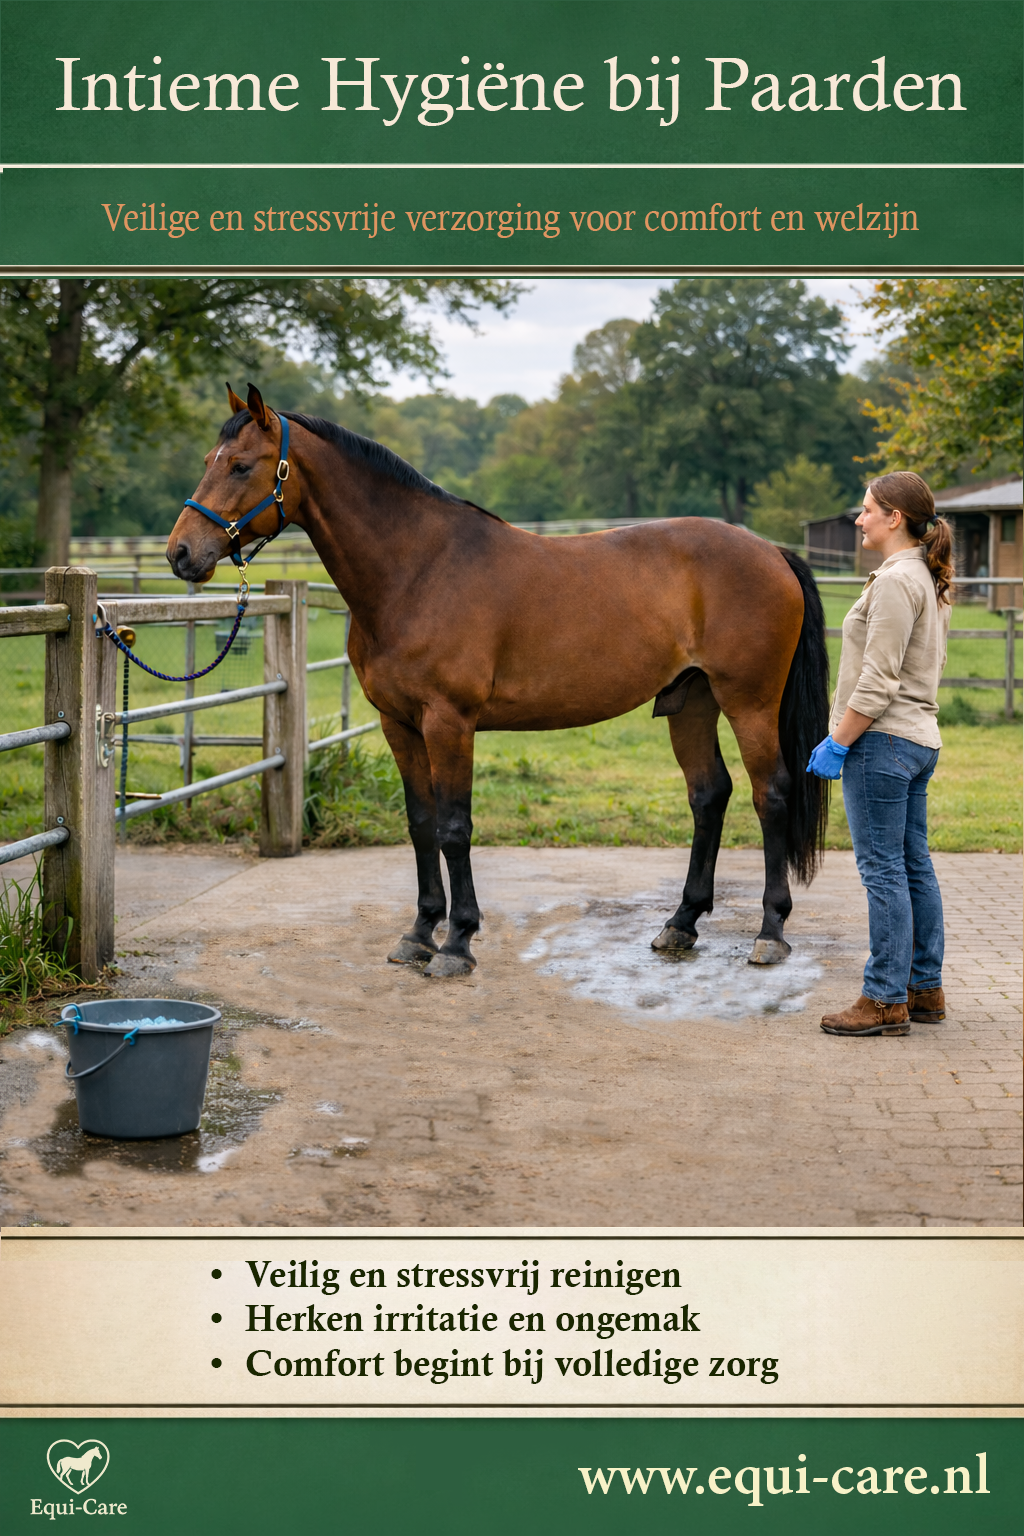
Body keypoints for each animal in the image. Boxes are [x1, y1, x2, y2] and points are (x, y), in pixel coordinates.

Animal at [167, 383, 829, 979]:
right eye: (206, 461)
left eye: (242, 465)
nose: (180, 553)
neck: (418, 569)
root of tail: (770, 551)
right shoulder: (398, 724)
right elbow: (421, 824)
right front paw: (418, 934)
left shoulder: (449, 722)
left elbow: (455, 829)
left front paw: (457, 943)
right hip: (691, 702)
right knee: (708, 795)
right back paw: (681, 923)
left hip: (748, 703)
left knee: (770, 795)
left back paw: (770, 933)